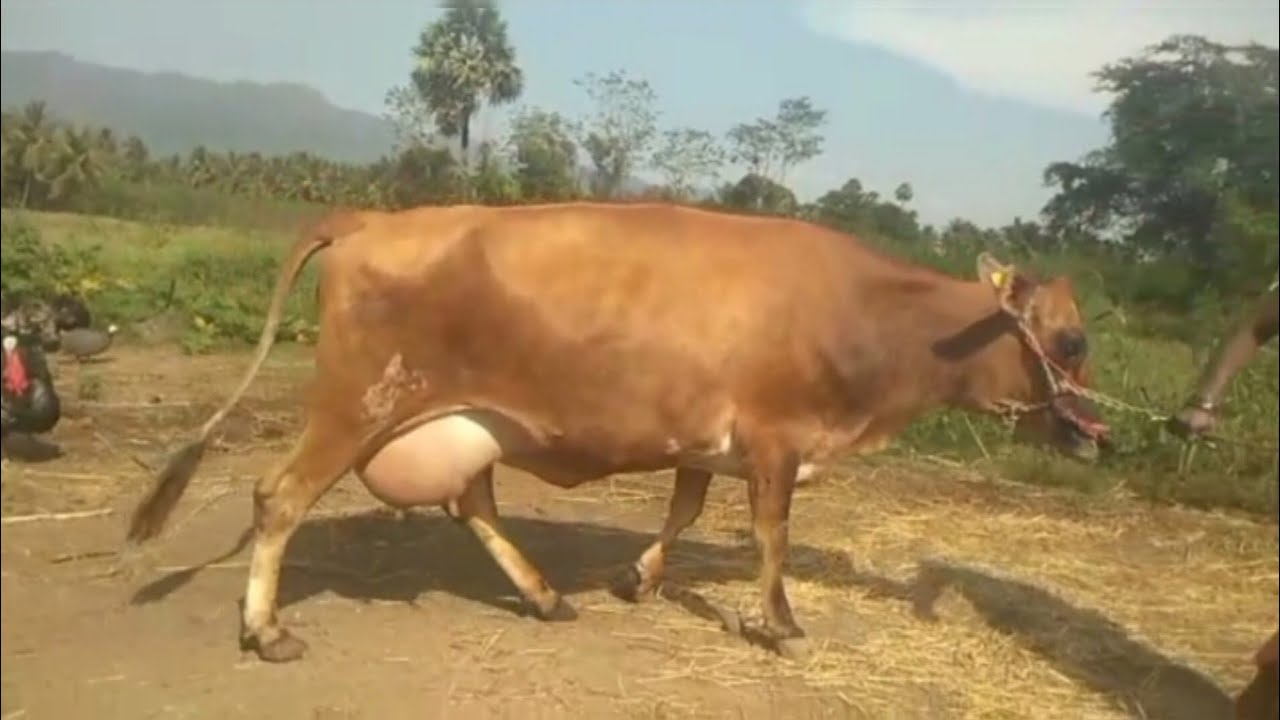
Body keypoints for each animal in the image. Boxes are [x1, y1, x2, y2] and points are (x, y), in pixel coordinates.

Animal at [125, 202, 1109, 664]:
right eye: (1072, 340)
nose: (1097, 432)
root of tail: (374, 216)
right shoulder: (777, 439)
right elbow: (771, 535)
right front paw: (783, 623)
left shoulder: (708, 439)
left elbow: (685, 510)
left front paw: (637, 578)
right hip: (355, 405)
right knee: (279, 498)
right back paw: (266, 629)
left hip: (462, 420)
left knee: (471, 504)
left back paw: (544, 594)